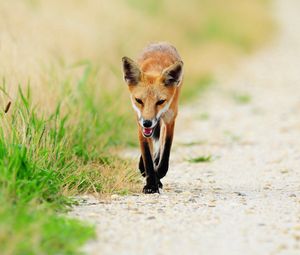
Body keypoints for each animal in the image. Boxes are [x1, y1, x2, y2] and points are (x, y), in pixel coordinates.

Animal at [121, 42, 183, 193]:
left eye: (160, 101)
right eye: (139, 100)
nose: (147, 123)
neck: (155, 67)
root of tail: (162, 42)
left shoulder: (170, 119)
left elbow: (165, 152)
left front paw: (158, 175)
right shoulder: (139, 122)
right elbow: (147, 155)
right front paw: (150, 184)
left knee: (159, 147)